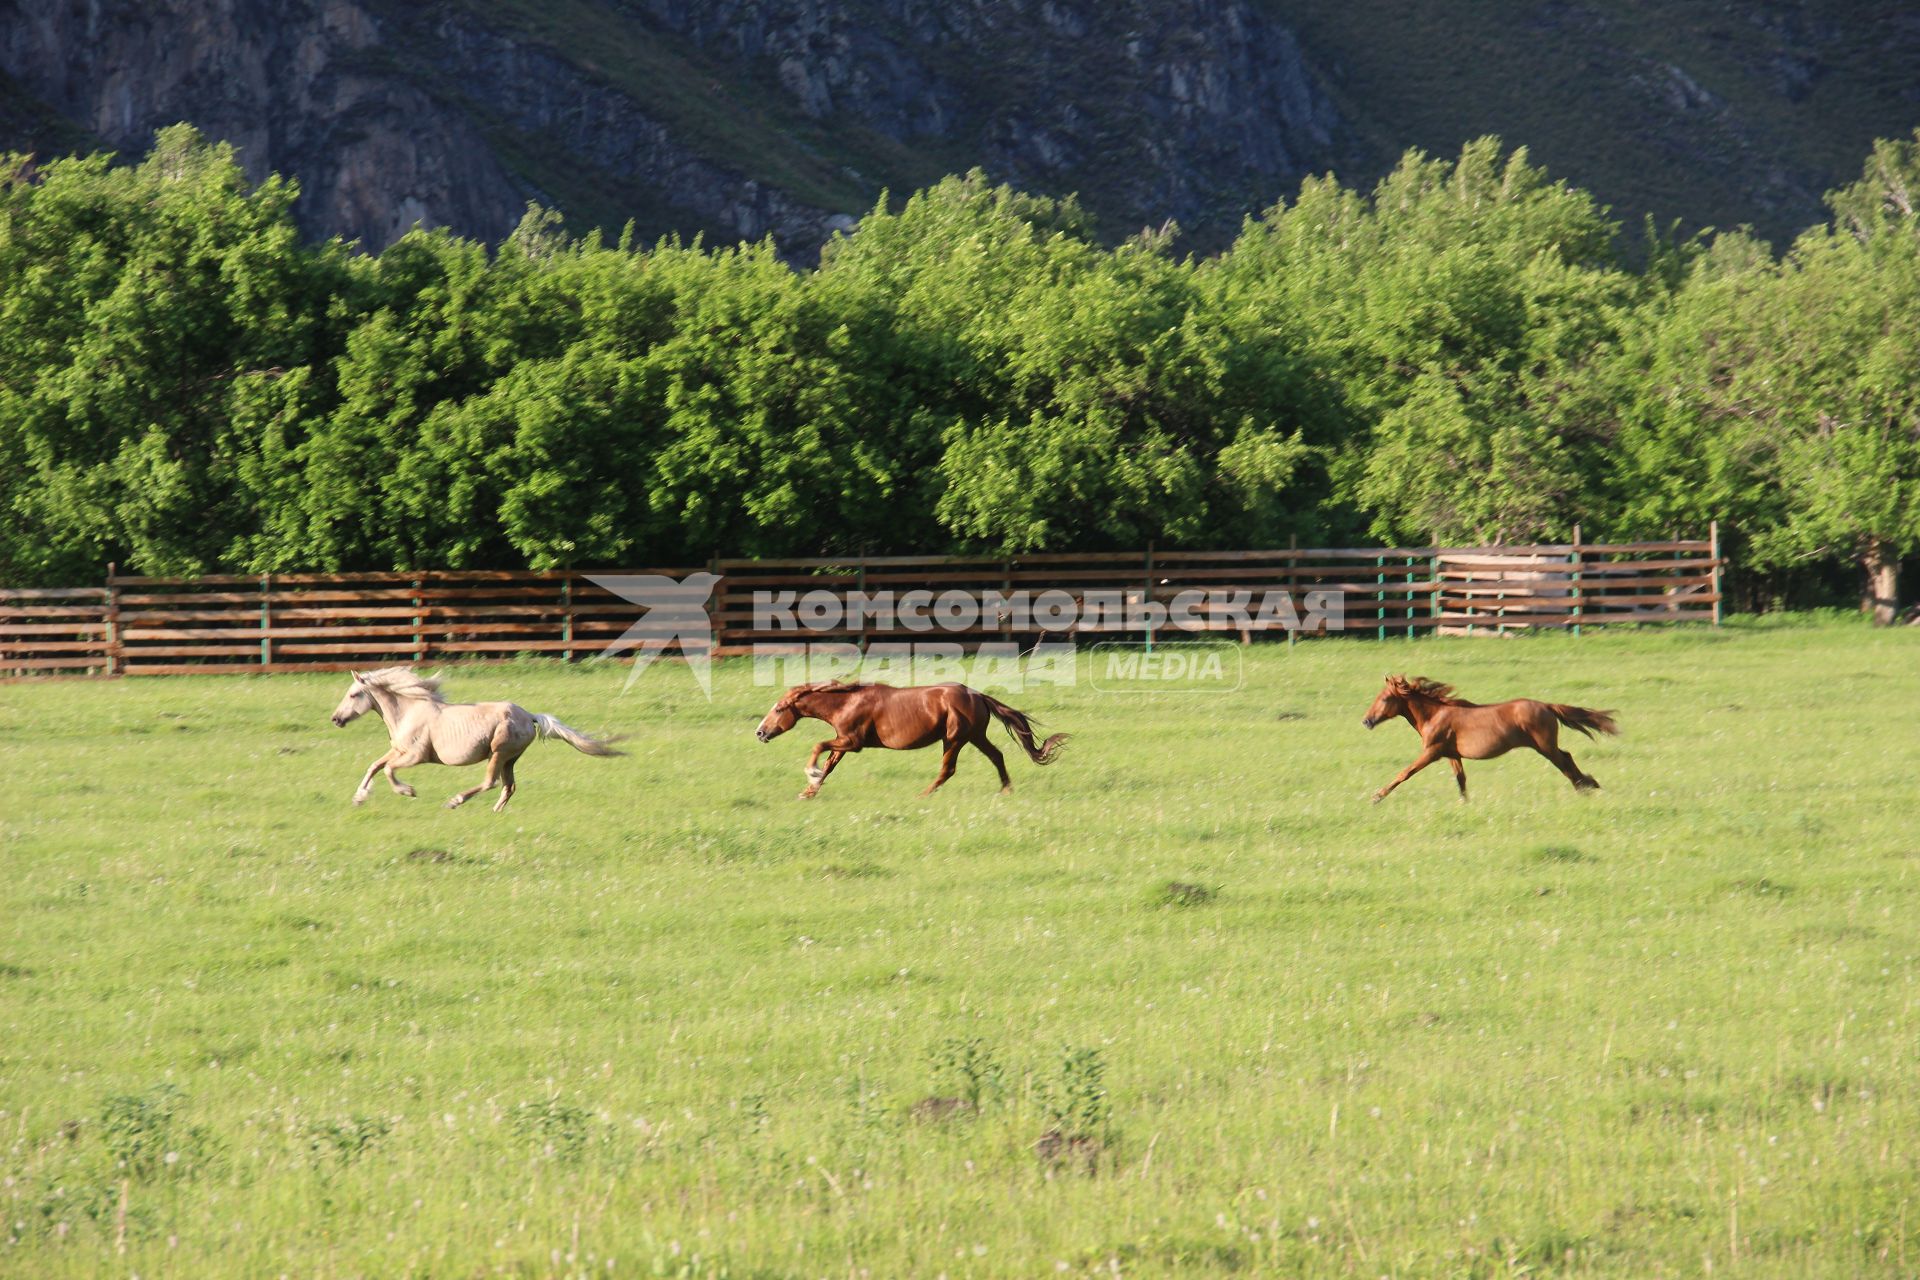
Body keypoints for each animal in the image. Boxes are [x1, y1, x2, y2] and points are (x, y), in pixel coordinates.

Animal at [330, 671, 622, 809]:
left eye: (354, 694)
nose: (336, 719)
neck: (409, 712)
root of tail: (529, 716)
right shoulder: (398, 751)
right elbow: (375, 766)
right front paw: (359, 798)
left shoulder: (415, 756)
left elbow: (388, 770)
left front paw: (408, 791)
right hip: (510, 759)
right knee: (508, 787)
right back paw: (496, 811)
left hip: (498, 753)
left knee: (490, 782)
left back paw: (455, 801)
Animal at [756, 679, 1075, 802]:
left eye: (779, 709)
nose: (760, 732)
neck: (847, 702)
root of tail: (978, 695)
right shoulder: (843, 741)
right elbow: (830, 764)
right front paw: (809, 791)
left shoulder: (852, 742)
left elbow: (819, 747)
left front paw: (810, 774)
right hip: (974, 736)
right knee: (997, 756)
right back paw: (1006, 790)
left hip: (954, 738)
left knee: (948, 769)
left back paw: (922, 795)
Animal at [1367, 675, 1620, 805]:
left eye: (1385, 698)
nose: (1366, 721)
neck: (1435, 715)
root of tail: (1547, 706)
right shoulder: (1452, 755)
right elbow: (1461, 779)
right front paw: (1465, 803)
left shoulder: (1432, 752)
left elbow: (1405, 773)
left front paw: (1377, 796)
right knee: (1566, 758)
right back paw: (1587, 785)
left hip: (1544, 746)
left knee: (1565, 760)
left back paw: (1586, 785)